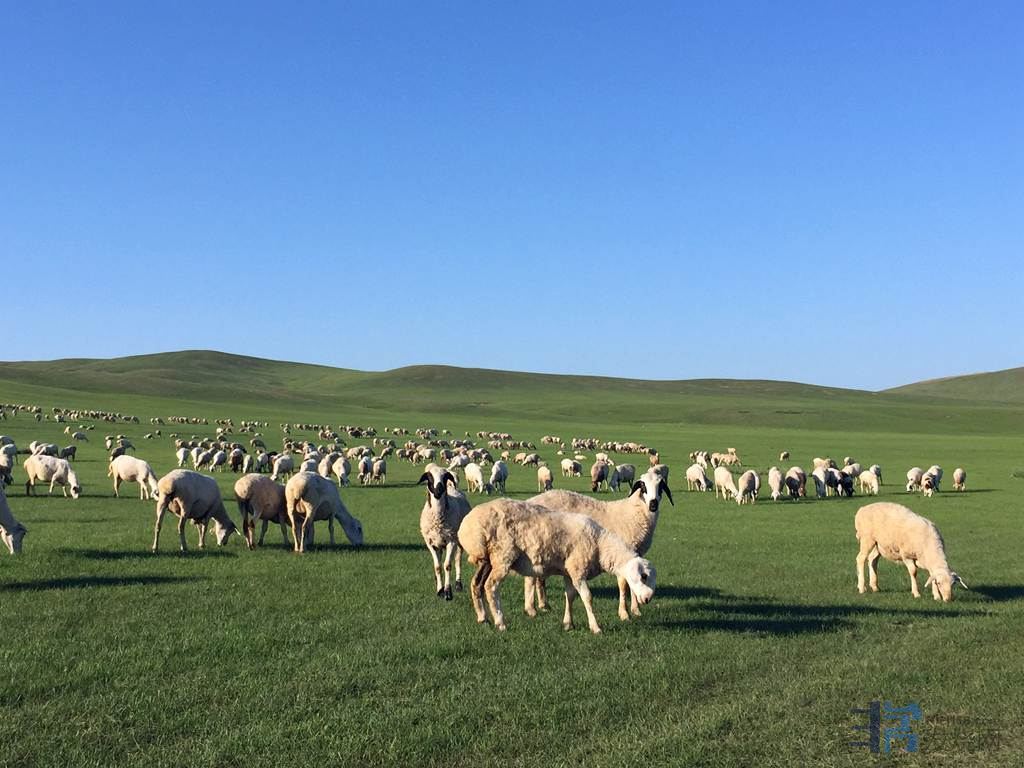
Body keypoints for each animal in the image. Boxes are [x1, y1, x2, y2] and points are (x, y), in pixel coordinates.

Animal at [418, 465, 471, 599]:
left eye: (445, 477)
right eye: (429, 477)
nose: (438, 490)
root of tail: (452, 488)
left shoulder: (451, 541)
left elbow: (447, 565)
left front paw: (447, 592)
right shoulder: (430, 543)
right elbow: (437, 567)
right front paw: (440, 590)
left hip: (458, 541)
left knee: (457, 560)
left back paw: (458, 584)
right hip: (439, 543)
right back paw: (437, 582)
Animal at [458, 498, 656, 634]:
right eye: (643, 576)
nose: (647, 599)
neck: (600, 545)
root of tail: (467, 527)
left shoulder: (569, 572)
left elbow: (570, 596)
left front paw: (568, 623)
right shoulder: (577, 569)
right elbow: (587, 597)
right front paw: (595, 627)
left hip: (487, 560)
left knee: (476, 584)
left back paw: (482, 618)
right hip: (502, 555)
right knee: (491, 586)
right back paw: (500, 622)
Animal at [527, 469, 672, 621]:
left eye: (660, 486)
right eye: (643, 486)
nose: (653, 504)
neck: (632, 513)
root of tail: (530, 501)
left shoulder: (634, 555)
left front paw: (636, 610)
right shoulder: (621, 553)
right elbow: (623, 584)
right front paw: (624, 613)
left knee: (539, 577)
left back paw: (544, 605)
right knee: (531, 578)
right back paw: (532, 608)